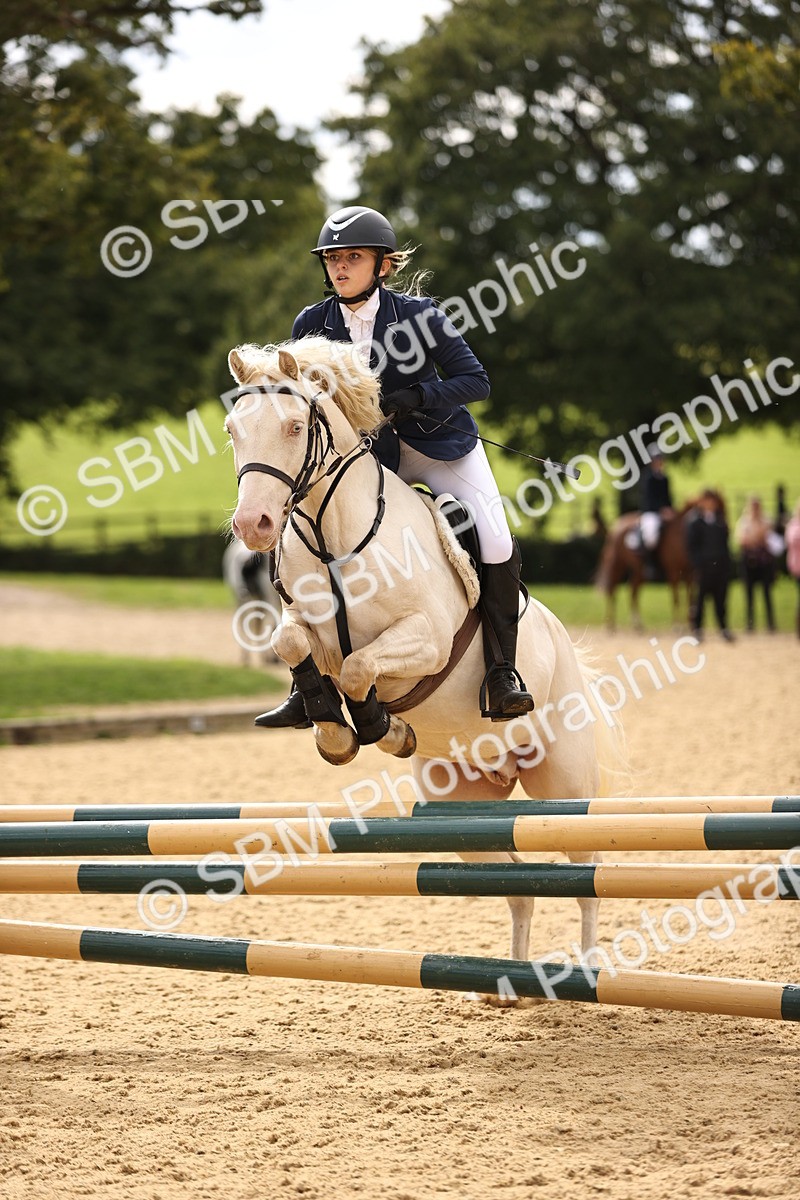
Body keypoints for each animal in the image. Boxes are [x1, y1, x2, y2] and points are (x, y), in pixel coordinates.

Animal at [226, 338, 626, 969]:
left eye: (293, 427)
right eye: (233, 430)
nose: (254, 525)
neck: (334, 538)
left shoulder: (427, 639)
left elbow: (360, 667)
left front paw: (377, 728)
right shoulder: (301, 624)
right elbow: (291, 643)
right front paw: (333, 728)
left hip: (563, 786)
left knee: (586, 872)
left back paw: (586, 970)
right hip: (462, 807)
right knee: (518, 886)